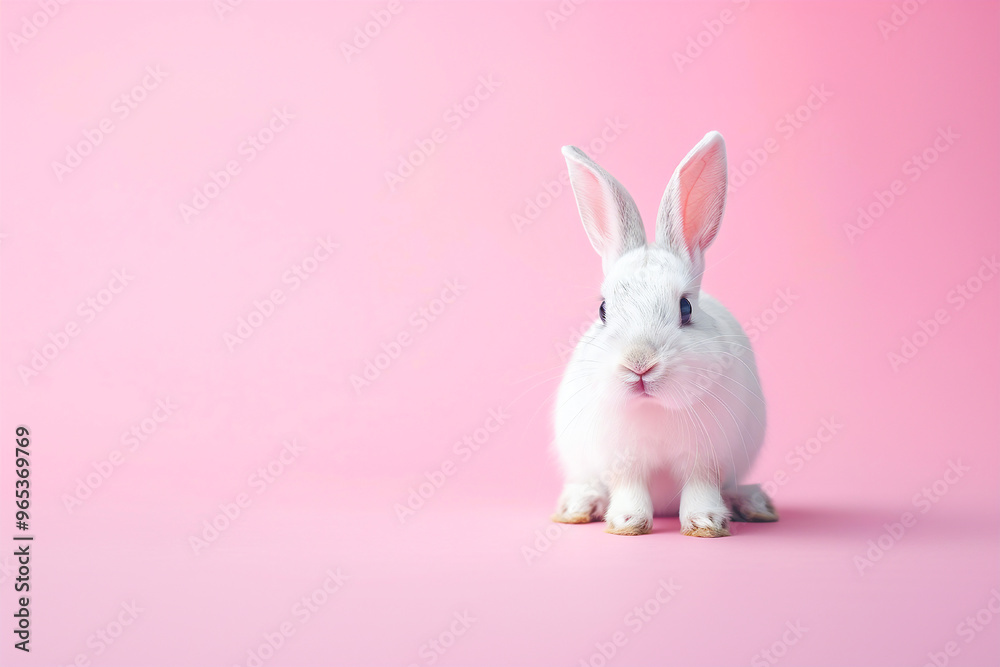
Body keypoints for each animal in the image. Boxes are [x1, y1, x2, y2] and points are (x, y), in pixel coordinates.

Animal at [551, 131, 777, 537]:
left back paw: (752, 503)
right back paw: (578, 506)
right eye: (603, 310)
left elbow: (701, 486)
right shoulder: (622, 459)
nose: (639, 364)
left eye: (685, 308)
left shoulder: (707, 458)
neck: (653, 407)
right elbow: (629, 488)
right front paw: (627, 523)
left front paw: (706, 523)